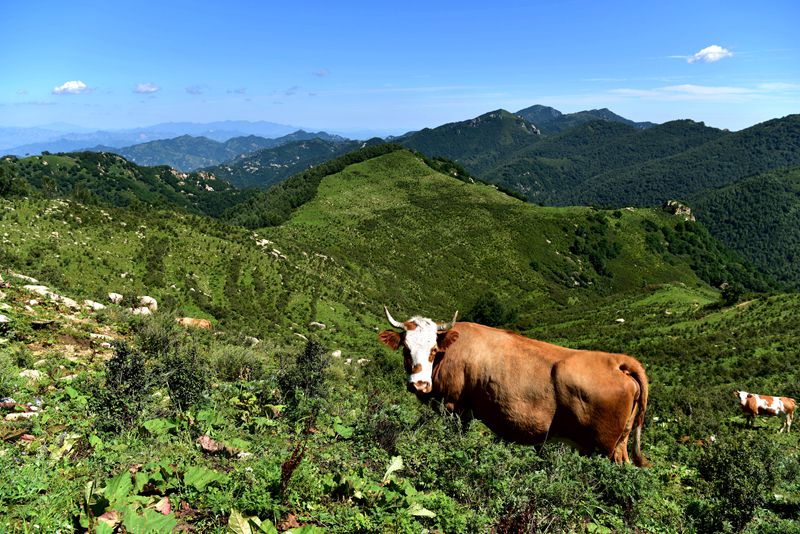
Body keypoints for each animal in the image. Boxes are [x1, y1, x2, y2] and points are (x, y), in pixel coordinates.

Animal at [376, 308, 648, 466]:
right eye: (406, 349)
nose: (419, 384)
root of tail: (616, 361)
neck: (450, 351)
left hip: (603, 448)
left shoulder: (454, 407)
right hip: (619, 445)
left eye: (433, 350)